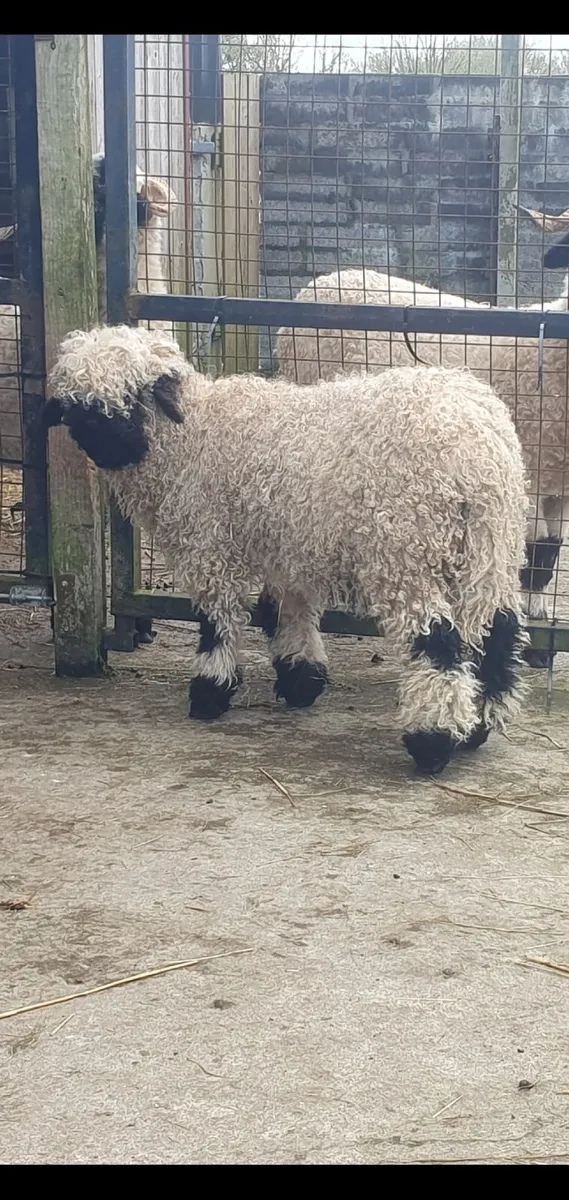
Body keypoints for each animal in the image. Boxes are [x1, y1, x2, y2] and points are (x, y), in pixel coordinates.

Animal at [44, 323, 528, 776]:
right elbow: (286, 611)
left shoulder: (209, 542)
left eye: (134, 395)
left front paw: (210, 691)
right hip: (491, 549)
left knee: (436, 642)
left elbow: (217, 619)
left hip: (405, 550)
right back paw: (478, 727)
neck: (189, 436)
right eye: (77, 407)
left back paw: (432, 740)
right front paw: (301, 678)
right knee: (497, 629)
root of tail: (474, 449)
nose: (108, 446)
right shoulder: (289, 543)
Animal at [276, 229, 569, 664]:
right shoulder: (528, 470)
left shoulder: (557, 478)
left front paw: (541, 620)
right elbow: (533, 556)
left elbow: (550, 553)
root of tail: (323, 280)